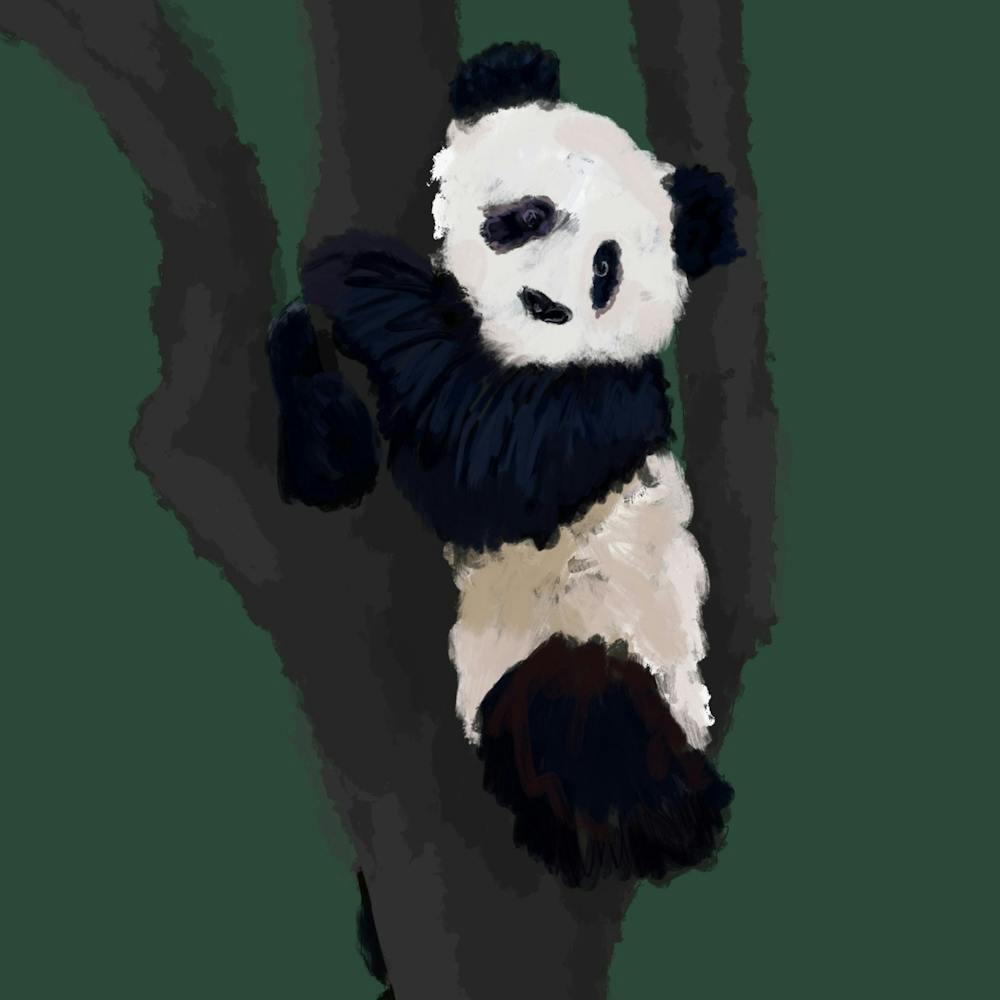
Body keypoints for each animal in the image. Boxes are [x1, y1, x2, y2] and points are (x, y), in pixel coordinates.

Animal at [270, 42, 745, 888]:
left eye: (605, 271)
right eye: (527, 216)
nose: (543, 306)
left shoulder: (602, 404)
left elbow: (481, 462)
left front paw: (362, 277)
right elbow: (339, 474)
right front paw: (303, 349)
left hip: (615, 661)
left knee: (584, 705)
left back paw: (658, 826)